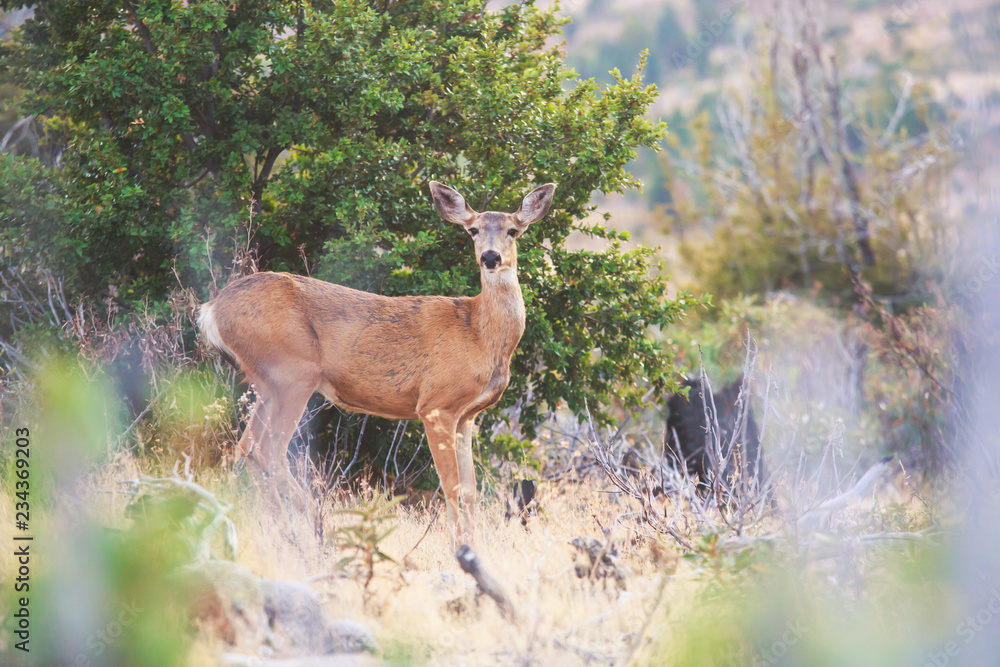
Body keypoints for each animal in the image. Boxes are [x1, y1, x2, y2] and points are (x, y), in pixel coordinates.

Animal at [198, 181, 556, 540]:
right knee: (268, 451)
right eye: (473, 230)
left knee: (246, 446)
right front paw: (458, 543)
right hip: (292, 373)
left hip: (268, 383)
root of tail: (211, 309)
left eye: (513, 230)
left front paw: (473, 540)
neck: (480, 334)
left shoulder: (467, 415)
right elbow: (451, 486)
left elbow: (470, 490)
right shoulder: (436, 404)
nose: (490, 257)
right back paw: (315, 526)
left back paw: (278, 529)